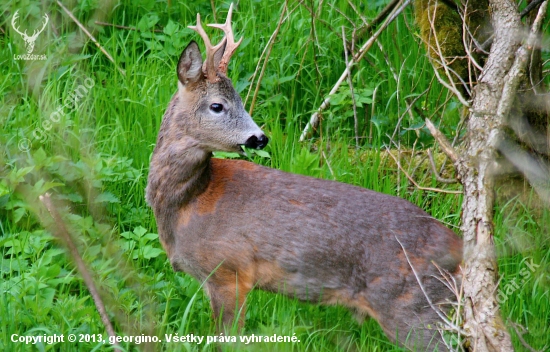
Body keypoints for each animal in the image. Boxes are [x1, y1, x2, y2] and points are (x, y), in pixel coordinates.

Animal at [144, 4, 464, 350]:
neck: (189, 202)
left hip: (414, 309)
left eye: (239, 101)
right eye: (217, 105)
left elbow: (228, 339)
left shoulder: (229, 271)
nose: (260, 138)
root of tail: (457, 247)